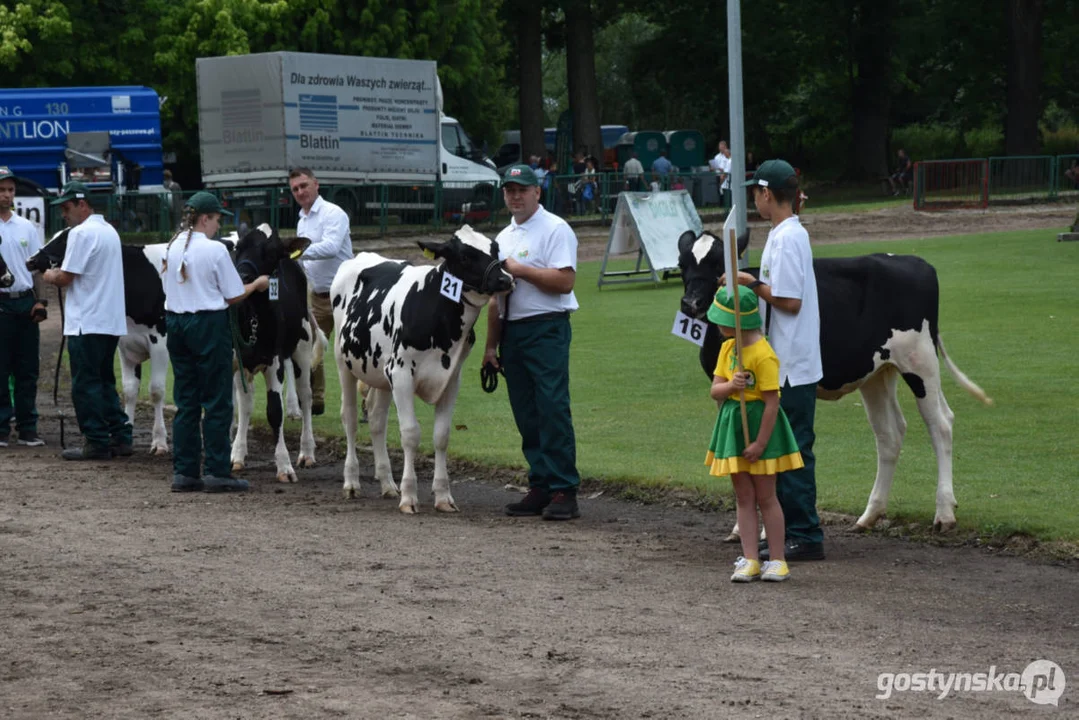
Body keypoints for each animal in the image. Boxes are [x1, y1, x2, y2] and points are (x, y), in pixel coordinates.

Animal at [27, 227, 169, 453]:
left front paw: (159, 442)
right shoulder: (124, 343)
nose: (30, 261)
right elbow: (129, 390)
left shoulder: (160, 342)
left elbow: (156, 391)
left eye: (65, 241)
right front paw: (126, 434)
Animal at [227, 223, 323, 483]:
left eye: (271, 252)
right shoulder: (236, 361)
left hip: (302, 348)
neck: (253, 317)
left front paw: (284, 466)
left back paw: (307, 452)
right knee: (247, 403)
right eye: (238, 247)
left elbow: (274, 411)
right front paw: (235, 454)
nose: (242, 277)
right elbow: (241, 406)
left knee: (306, 396)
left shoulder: (274, 362)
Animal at [330, 225, 511, 511]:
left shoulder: (451, 378)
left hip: (380, 372)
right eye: (465, 256)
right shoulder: (401, 373)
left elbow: (442, 435)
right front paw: (409, 496)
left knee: (376, 420)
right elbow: (411, 433)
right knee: (349, 417)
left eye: (495, 249)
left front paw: (443, 496)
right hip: (344, 362)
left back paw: (387, 484)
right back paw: (351, 483)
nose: (505, 280)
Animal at [677, 231, 988, 535]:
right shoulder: (725, 392)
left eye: (718, 263)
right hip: (877, 372)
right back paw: (870, 515)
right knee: (890, 433)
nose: (691, 303)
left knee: (941, 424)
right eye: (682, 264)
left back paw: (944, 513)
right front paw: (742, 528)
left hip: (919, 360)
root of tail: (914, 260)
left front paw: (767, 530)